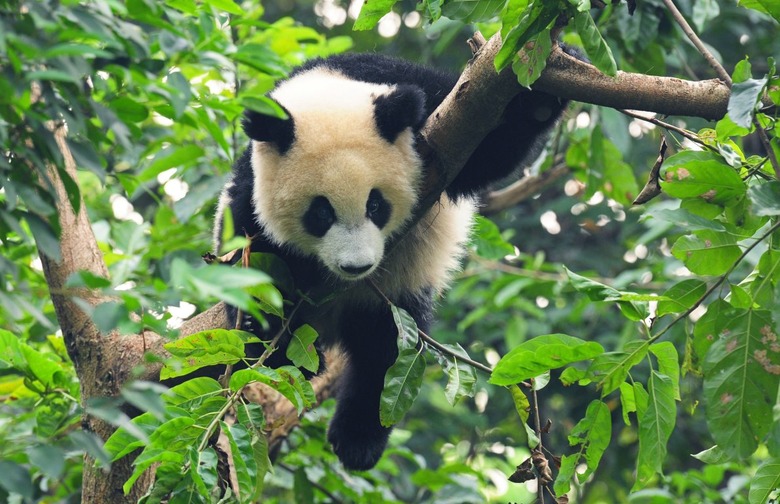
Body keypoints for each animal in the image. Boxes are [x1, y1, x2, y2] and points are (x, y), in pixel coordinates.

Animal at [214, 52, 569, 471]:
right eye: (321, 213)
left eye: (375, 205)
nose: (356, 267)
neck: (328, 88)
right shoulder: (252, 182)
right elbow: (248, 246)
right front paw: (267, 329)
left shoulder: (434, 121)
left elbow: (490, 150)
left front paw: (545, 87)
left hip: (395, 293)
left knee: (383, 357)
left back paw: (357, 441)